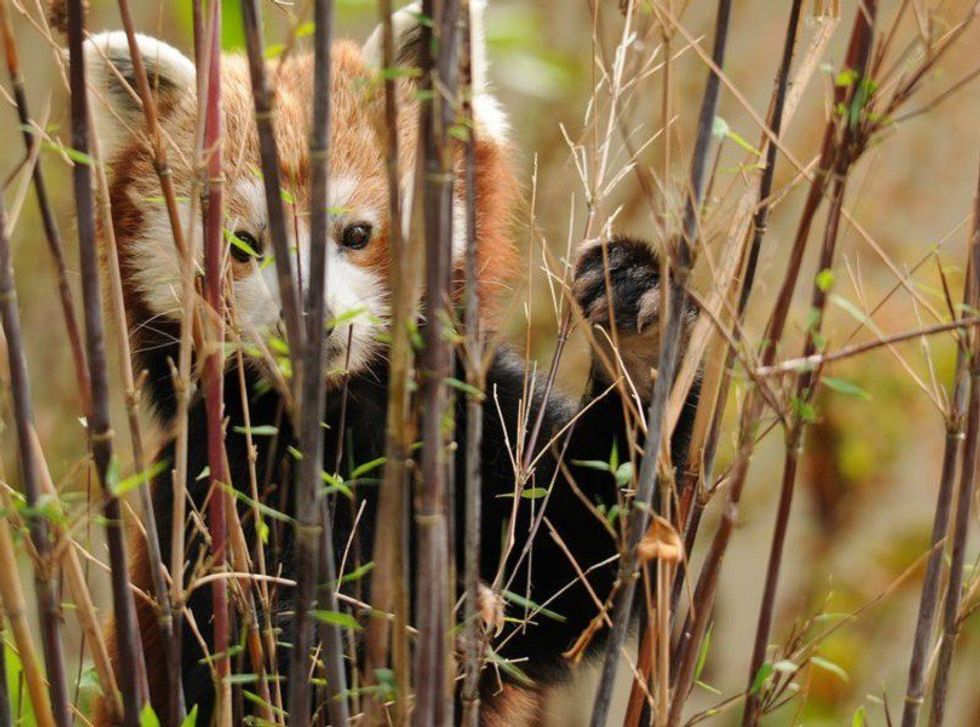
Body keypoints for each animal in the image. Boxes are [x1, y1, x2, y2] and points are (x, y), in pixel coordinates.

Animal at [84, 2, 696, 724]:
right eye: (243, 244)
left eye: (356, 234)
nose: (309, 316)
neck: (345, 411)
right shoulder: (210, 486)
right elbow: (227, 660)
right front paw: (329, 645)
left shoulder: (483, 418)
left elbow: (586, 559)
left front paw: (634, 329)